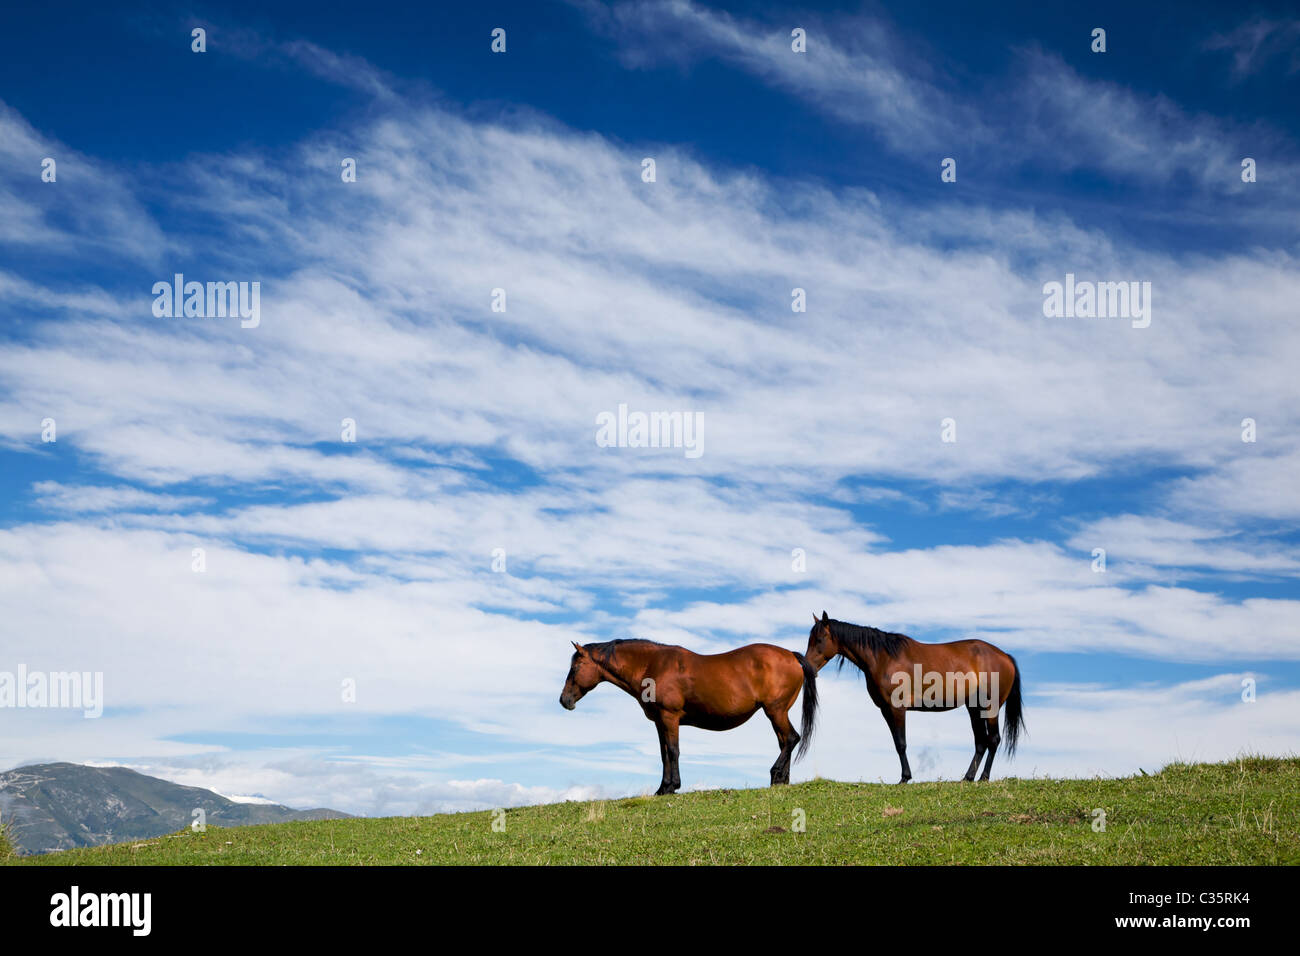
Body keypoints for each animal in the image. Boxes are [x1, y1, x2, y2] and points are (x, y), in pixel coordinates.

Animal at [561, 639, 821, 796]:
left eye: (575, 668)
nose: (564, 700)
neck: (652, 667)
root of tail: (791, 655)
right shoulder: (660, 721)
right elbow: (664, 754)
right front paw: (663, 788)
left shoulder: (670, 717)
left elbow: (673, 751)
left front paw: (671, 786)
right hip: (777, 712)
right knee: (785, 741)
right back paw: (782, 780)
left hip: (775, 710)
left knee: (791, 738)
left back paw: (775, 774)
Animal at [800, 613, 1024, 785]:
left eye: (819, 639)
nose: (807, 667)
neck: (883, 657)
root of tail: (1005, 655)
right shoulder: (886, 710)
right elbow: (896, 743)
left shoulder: (897, 709)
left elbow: (901, 743)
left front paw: (905, 778)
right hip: (974, 707)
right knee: (980, 742)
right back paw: (968, 778)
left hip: (990, 707)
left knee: (993, 740)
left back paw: (984, 777)